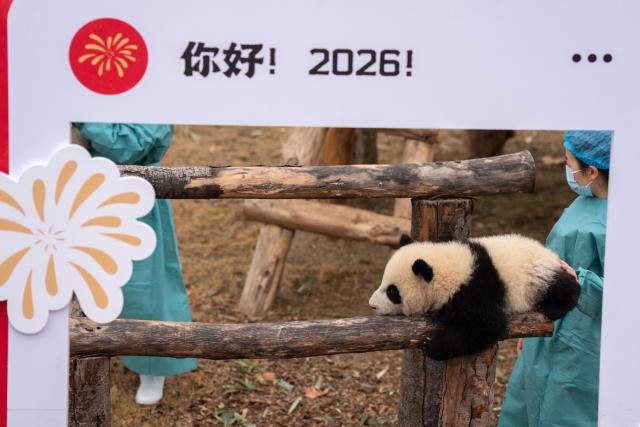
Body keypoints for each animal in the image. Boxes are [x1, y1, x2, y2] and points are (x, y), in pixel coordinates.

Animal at [368, 234, 581, 361]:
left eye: (392, 292)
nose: (372, 305)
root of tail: (551, 254)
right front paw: (444, 313)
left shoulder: (478, 290)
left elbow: (486, 327)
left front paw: (432, 346)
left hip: (537, 276)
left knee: (563, 287)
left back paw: (555, 307)